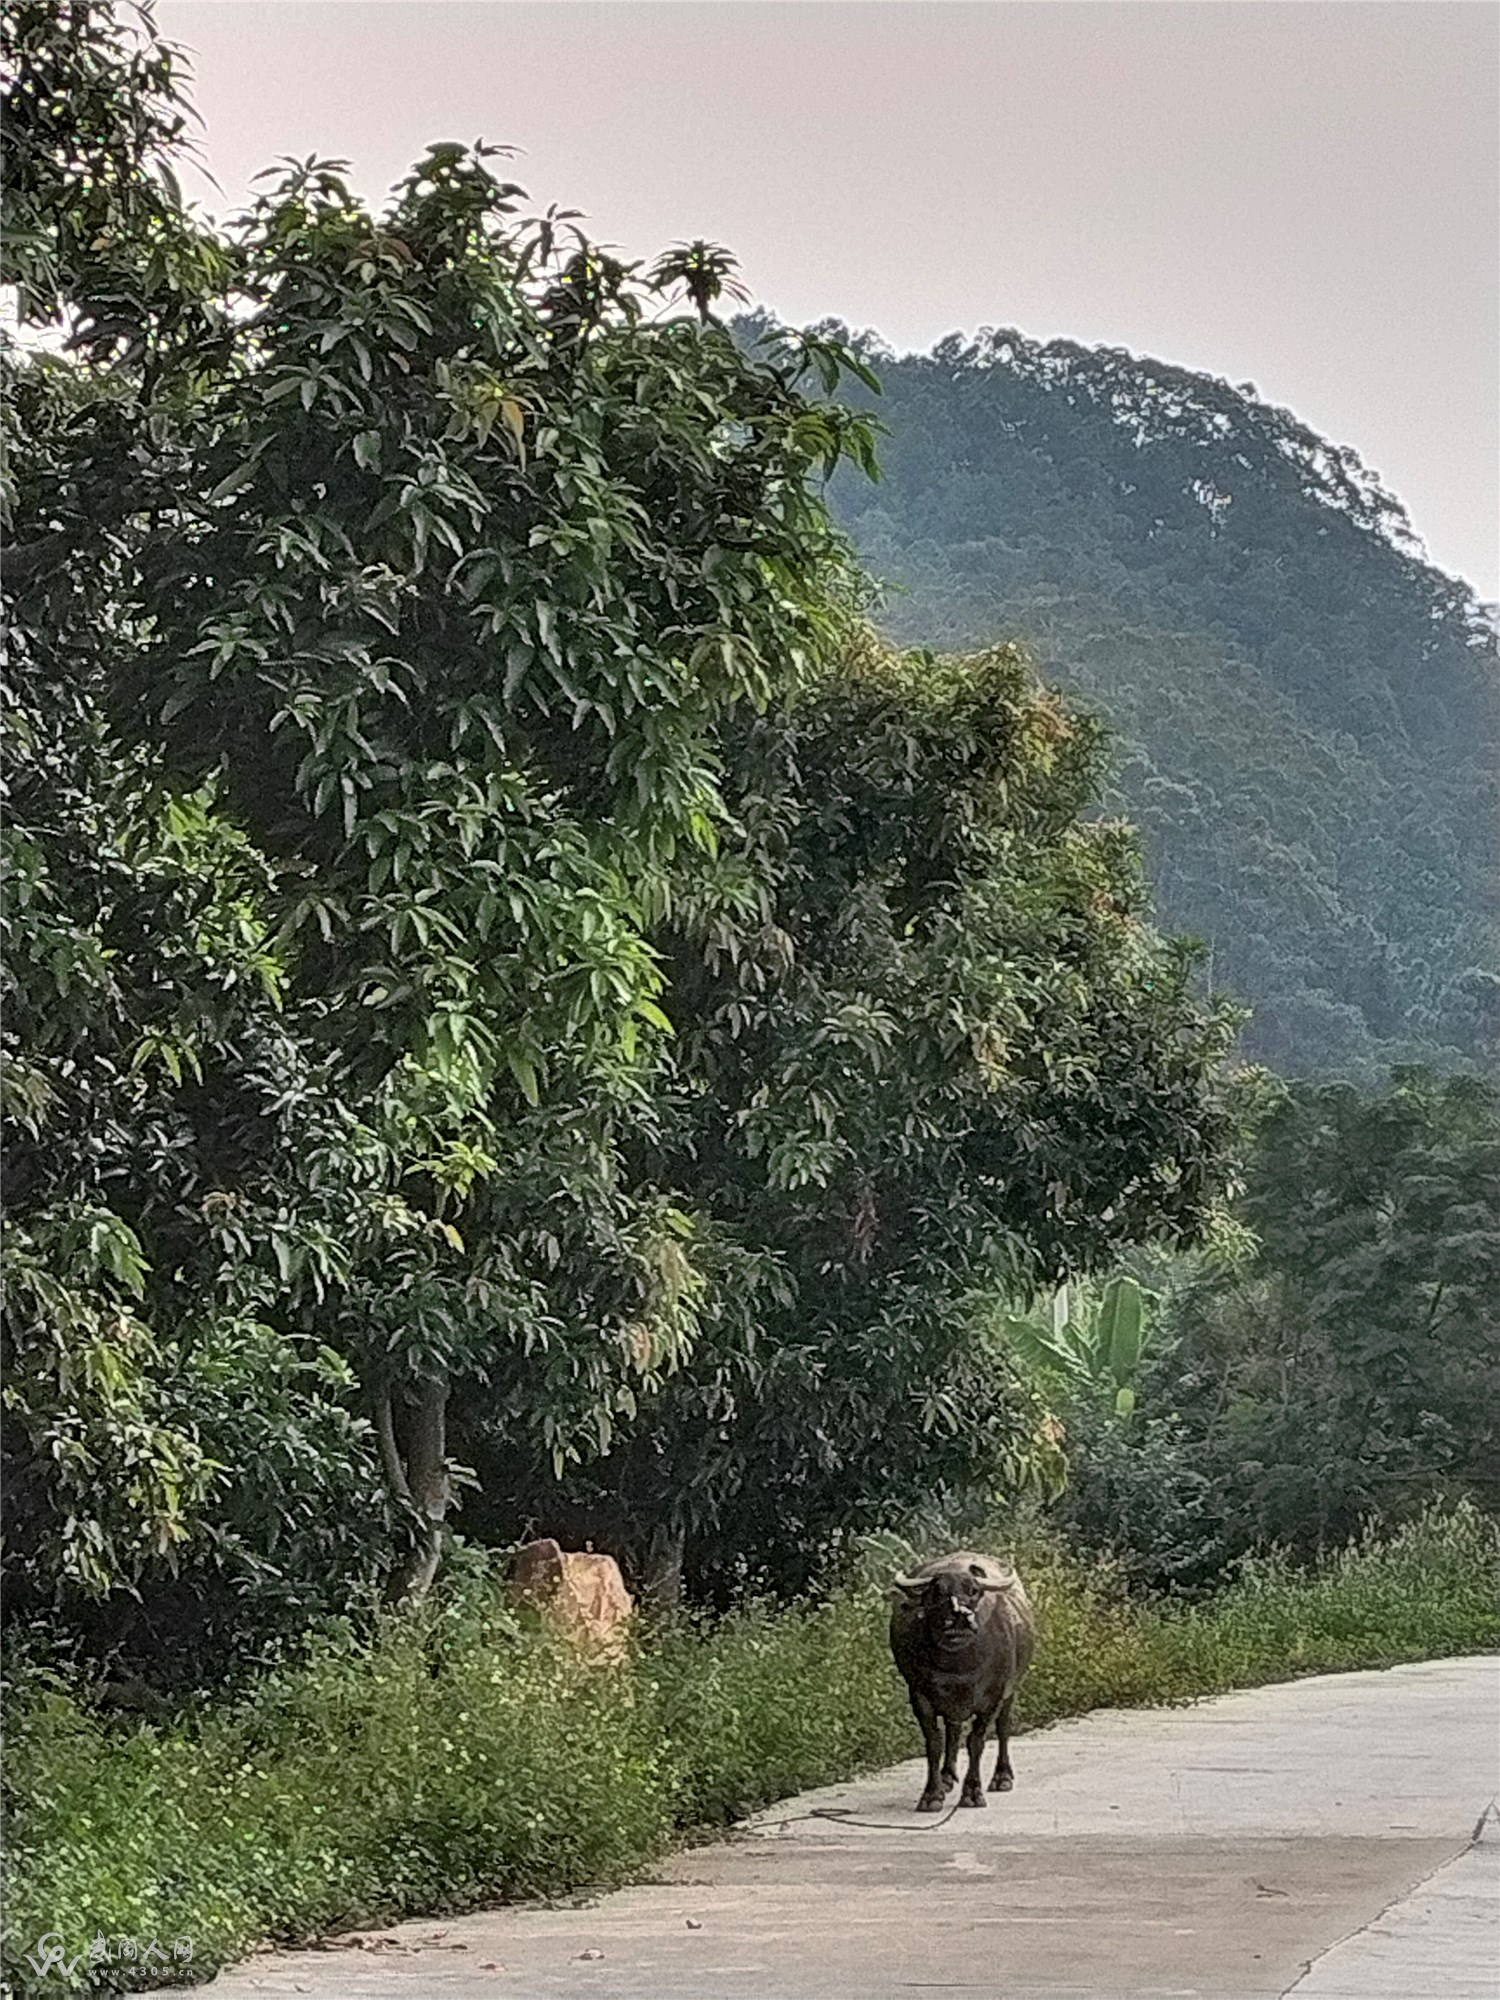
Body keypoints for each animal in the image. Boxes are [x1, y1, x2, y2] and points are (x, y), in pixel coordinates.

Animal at [892, 1544, 1032, 1816]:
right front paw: (932, 1795)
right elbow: (934, 1742)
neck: (957, 1665)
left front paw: (973, 1793)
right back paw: (947, 1777)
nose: (959, 1618)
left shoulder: (994, 1696)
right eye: (937, 1592)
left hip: (1011, 1691)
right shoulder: (919, 1695)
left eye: (974, 1591)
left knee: (1002, 1728)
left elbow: (976, 1742)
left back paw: (1002, 1777)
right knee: (953, 1729)